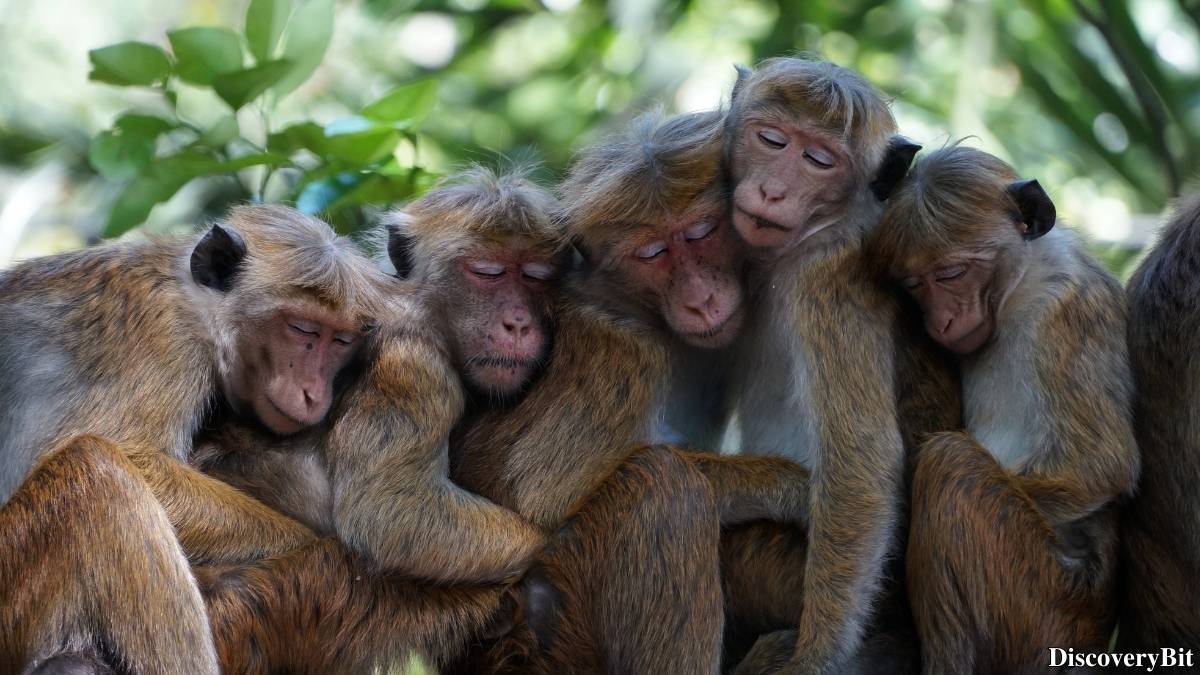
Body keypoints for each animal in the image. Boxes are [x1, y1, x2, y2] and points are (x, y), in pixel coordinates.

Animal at [720, 57, 957, 674]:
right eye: (772, 140)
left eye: (819, 161)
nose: (774, 190)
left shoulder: (831, 279)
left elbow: (861, 458)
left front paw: (816, 659)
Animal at [866, 145, 1138, 672]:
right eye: (914, 285)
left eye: (951, 274)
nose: (941, 320)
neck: (1020, 286)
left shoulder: (1062, 311)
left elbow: (1101, 466)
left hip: (1045, 604)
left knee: (948, 463)